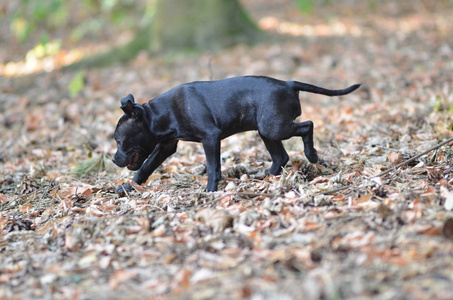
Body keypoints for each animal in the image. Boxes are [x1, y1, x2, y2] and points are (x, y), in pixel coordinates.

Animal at [111, 75, 358, 192]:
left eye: (119, 141)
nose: (113, 160)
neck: (158, 114)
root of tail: (288, 83)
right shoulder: (165, 146)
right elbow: (144, 169)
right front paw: (127, 188)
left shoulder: (210, 137)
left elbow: (213, 168)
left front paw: (209, 191)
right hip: (266, 131)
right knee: (281, 156)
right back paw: (265, 178)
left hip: (274, 127)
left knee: (308, 125)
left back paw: (312, 154)